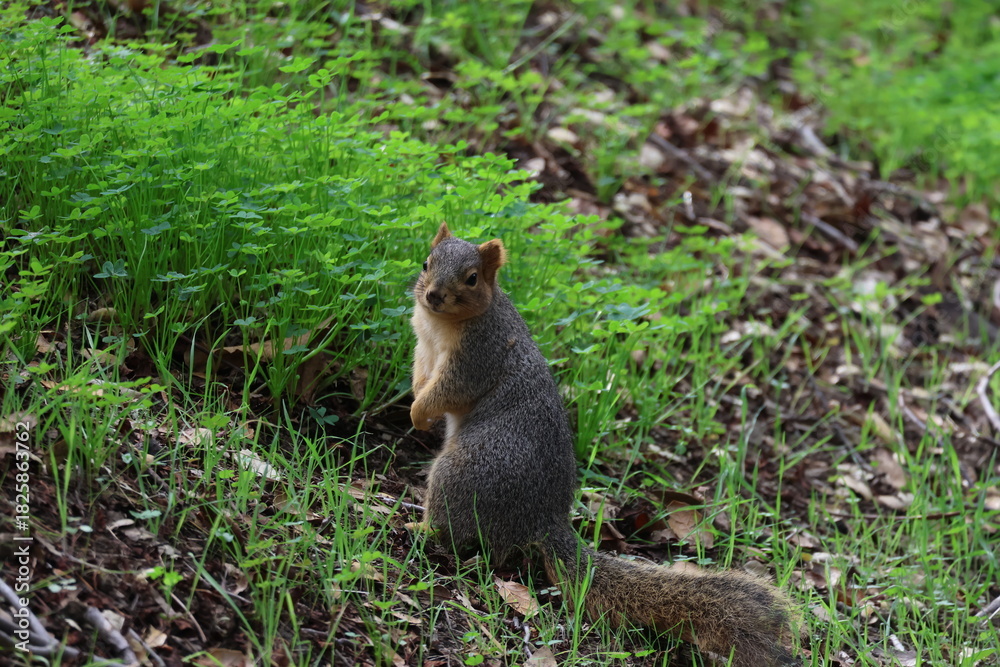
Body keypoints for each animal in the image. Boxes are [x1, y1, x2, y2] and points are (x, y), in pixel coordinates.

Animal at [409, 223, 798, 667]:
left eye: (472, 278)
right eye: (426, 262)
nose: (433, 295)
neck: (441, 324)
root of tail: (542, 520)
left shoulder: (477, 355)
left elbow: (450, 390)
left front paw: (419, 414)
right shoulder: (423, 346)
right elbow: (422, 377)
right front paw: (415, 407)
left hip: (465, 473)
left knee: (452, 530)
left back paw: (419, 526)